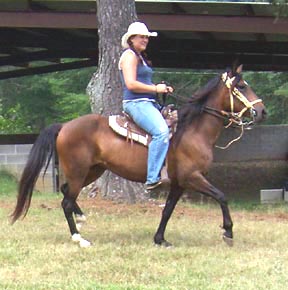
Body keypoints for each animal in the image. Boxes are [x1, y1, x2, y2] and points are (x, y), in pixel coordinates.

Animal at [11, 65, 268, 247]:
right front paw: (228, 232)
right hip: (78, 171)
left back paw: (81, 219)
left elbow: (167, 210)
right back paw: (79, 238)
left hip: (93, 170)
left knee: (67, 193)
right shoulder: (192, 177)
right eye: (242, 86)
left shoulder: (179, 183)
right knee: (66, 200)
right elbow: (222, 197)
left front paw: (160, 239)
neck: (192, 130)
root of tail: (64, 126)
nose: (262, 111)